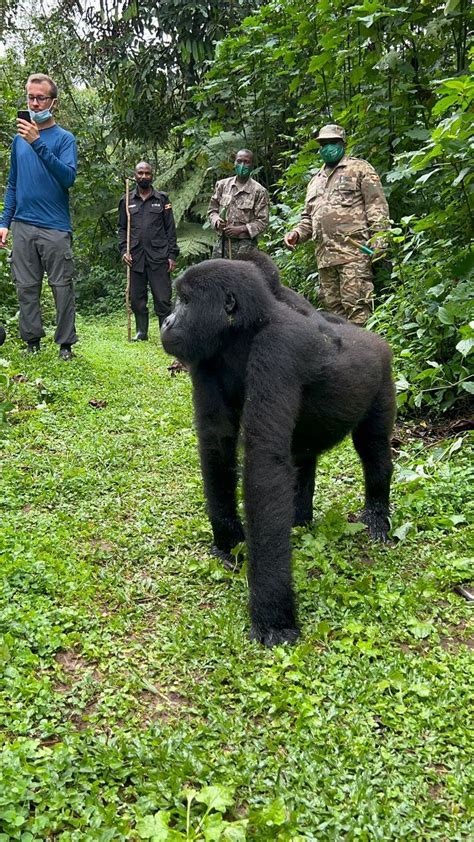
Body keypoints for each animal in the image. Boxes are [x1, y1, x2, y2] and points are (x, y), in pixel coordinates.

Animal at [161, 256, 394, 644]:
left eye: (186, 301)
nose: (165, 321)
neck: (242, 333)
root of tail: (375, 338)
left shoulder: (277, 349)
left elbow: (264, 466)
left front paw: (272, 615)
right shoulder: (206, 358)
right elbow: (217, 447)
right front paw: (229, 543)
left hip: (384, 375)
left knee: (373, 450)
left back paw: (377, 514)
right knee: (303, 460)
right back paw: (300, 520)